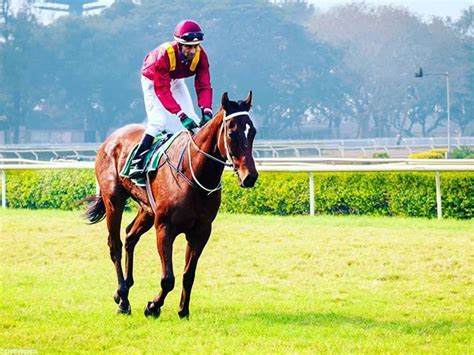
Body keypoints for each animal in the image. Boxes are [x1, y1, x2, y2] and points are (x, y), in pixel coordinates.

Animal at [83, 92, 258, 320]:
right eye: (231, 132)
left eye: (252, 131)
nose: (250, 177)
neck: (193, 174)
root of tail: (110, 139)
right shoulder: (165, 228)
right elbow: (168, 278)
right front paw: (152, 306)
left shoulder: (201, 231)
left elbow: (188, 274)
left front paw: (183, 311)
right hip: (113, 200)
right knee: (115, 245)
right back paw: (123, 299)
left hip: (147, 210)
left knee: (130, 236)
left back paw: (122, 291)